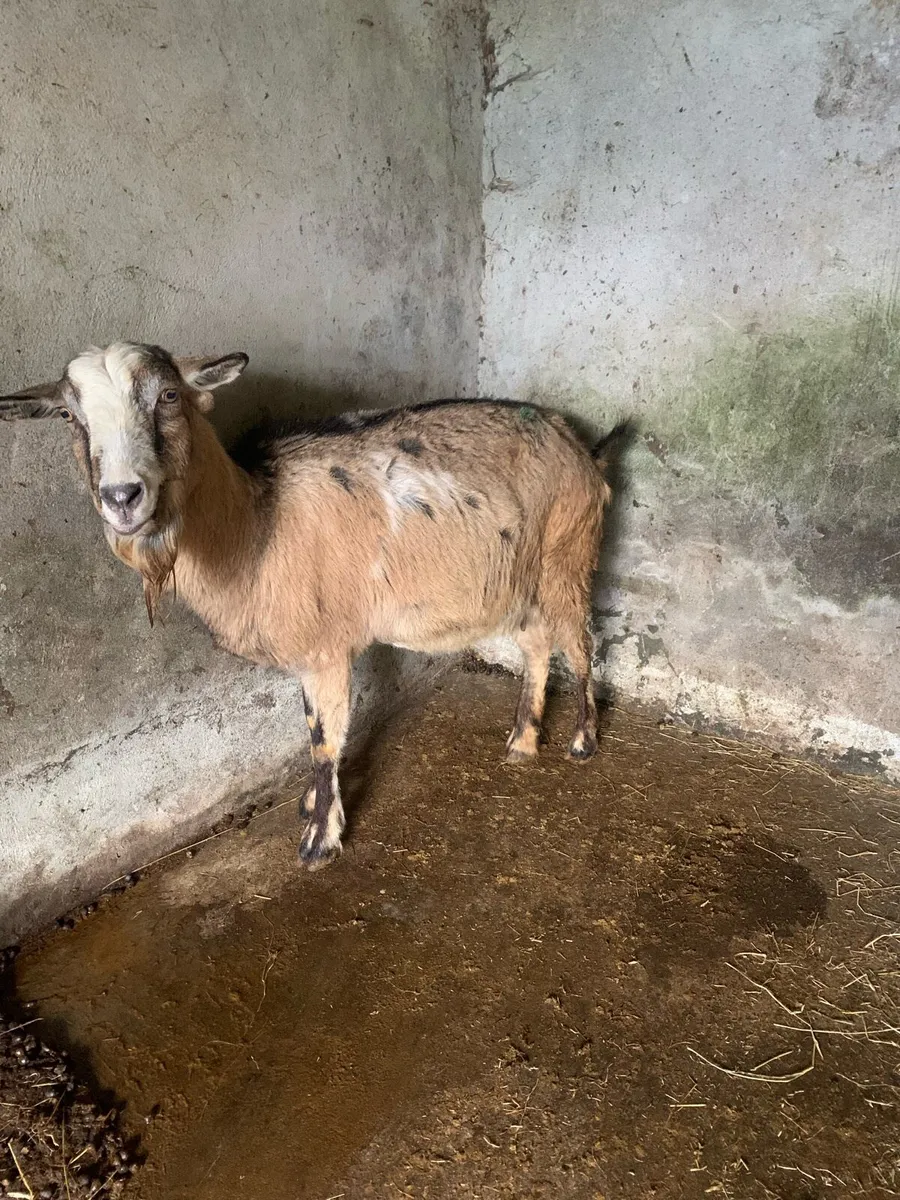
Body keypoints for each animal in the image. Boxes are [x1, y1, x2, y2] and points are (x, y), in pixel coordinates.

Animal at [1, 343, 615, 869]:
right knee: (536, 643)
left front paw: (319, 841)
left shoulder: (325, 650)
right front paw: (315, 810)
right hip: (520, 576)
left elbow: (324, 740)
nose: (122, 498)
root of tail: (578, 442)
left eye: (169, 395)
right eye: (68, 416)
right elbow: (315, 732)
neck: (255, 522)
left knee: (579, 641)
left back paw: (582, 742)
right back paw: (522, 742)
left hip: (568, 552)